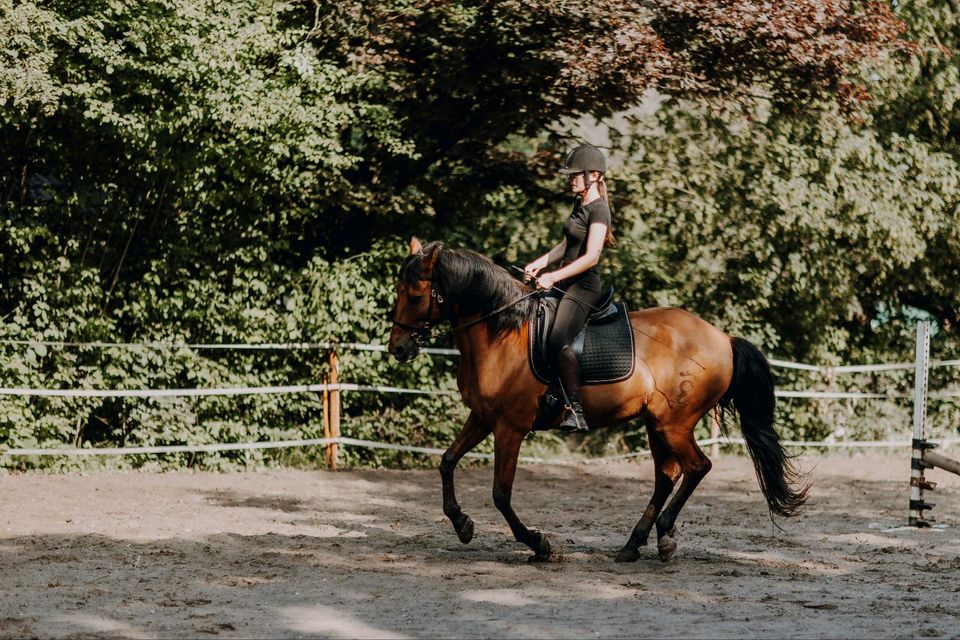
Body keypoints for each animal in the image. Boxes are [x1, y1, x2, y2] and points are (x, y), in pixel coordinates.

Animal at [386, 239, 808, 560]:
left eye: (416, 295)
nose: (398, 349)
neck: (501, 332)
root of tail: (723, 338)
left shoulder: (510, 428)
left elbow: (501, 495)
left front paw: (539, 544)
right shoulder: (482, 417)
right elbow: (446, 462)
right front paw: (462, 525)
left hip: (674, 424)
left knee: (696, 467)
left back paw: (662, 534)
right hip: (657, 424)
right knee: (667, 476)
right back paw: (636, 544)